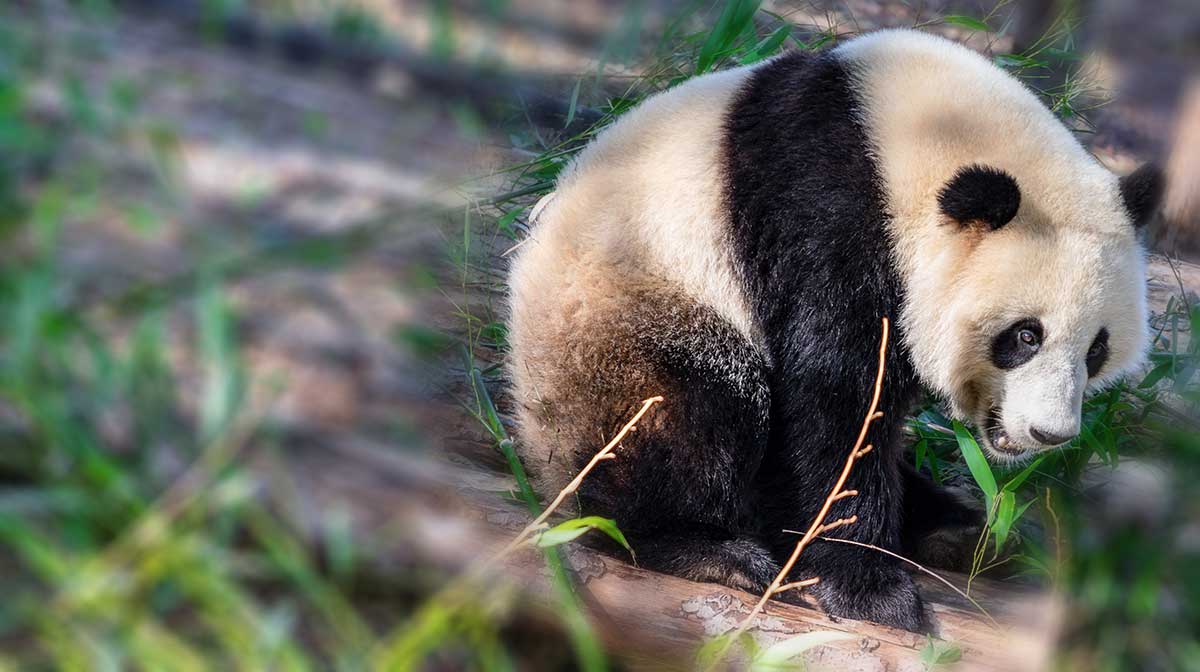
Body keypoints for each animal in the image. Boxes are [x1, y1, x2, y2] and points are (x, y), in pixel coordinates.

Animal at [504, 28, 1161, 633]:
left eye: (1096, 350)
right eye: (1025, 336)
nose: (1048, 434)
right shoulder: (827, 213)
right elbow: (835, 397)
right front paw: (872, 591)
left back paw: (958, 530)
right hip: (627, 314)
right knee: (693, 405)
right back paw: (704, 547)